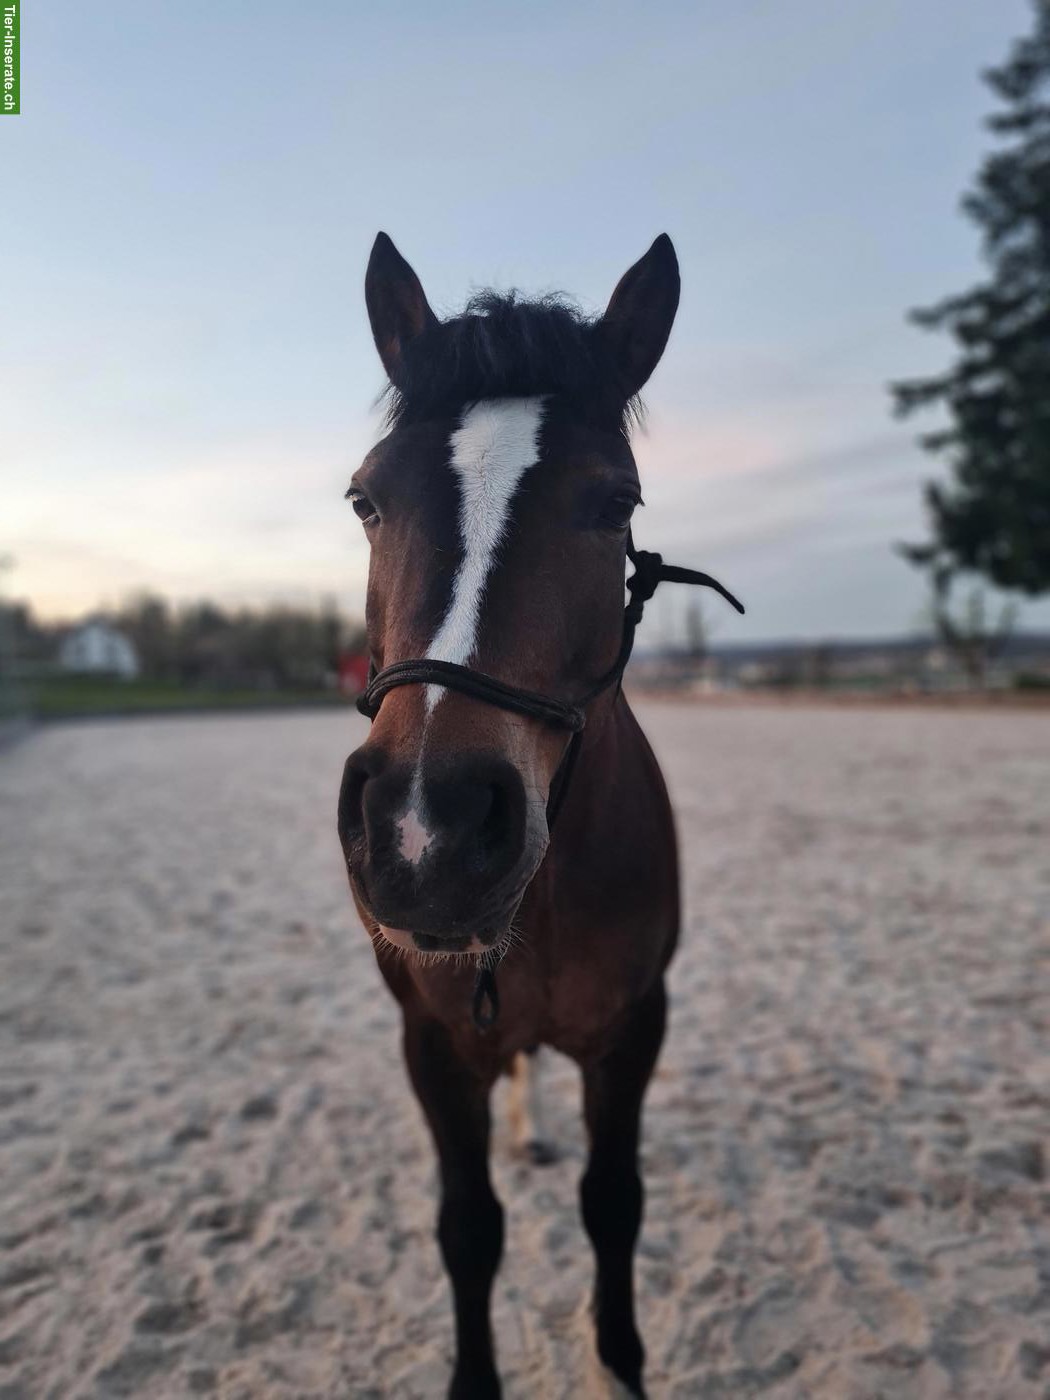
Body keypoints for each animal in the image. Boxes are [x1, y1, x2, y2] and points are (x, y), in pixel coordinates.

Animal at [337, 231, 742, 1399]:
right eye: (365, 500)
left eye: (615, 503)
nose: (427, 830)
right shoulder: (433, 1042)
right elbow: (469, 1229)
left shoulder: (634, 1028)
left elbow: (614, 1207)